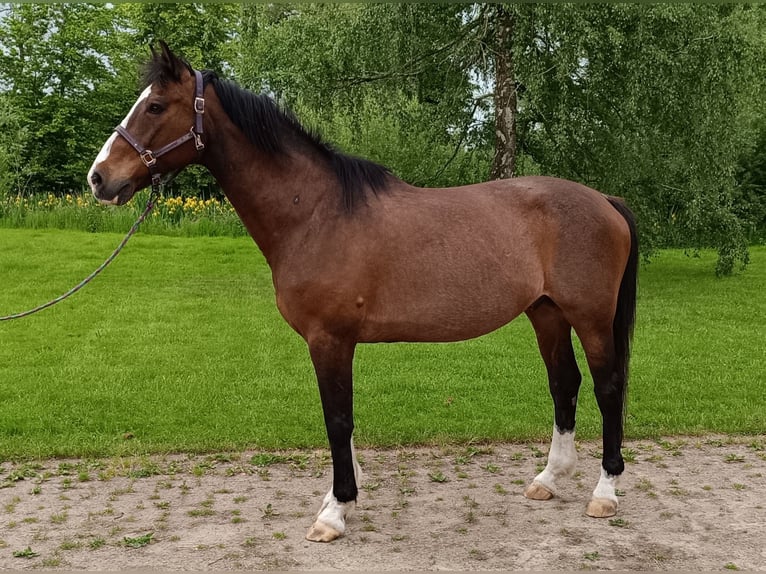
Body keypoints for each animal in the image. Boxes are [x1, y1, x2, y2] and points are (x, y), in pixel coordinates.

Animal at [88, 42, 638, 542]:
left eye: (156, 106)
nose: (99, 178)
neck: (315, 212)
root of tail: (605, 200)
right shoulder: (334, 342)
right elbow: (343, 421)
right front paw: (341, 499)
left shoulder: (329, 339)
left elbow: (337, 419)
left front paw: (334, 513)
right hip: (546, 312)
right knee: (564, 384)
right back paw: (549, 479)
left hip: (589, 317)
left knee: (608, 387)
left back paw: (605, 492)